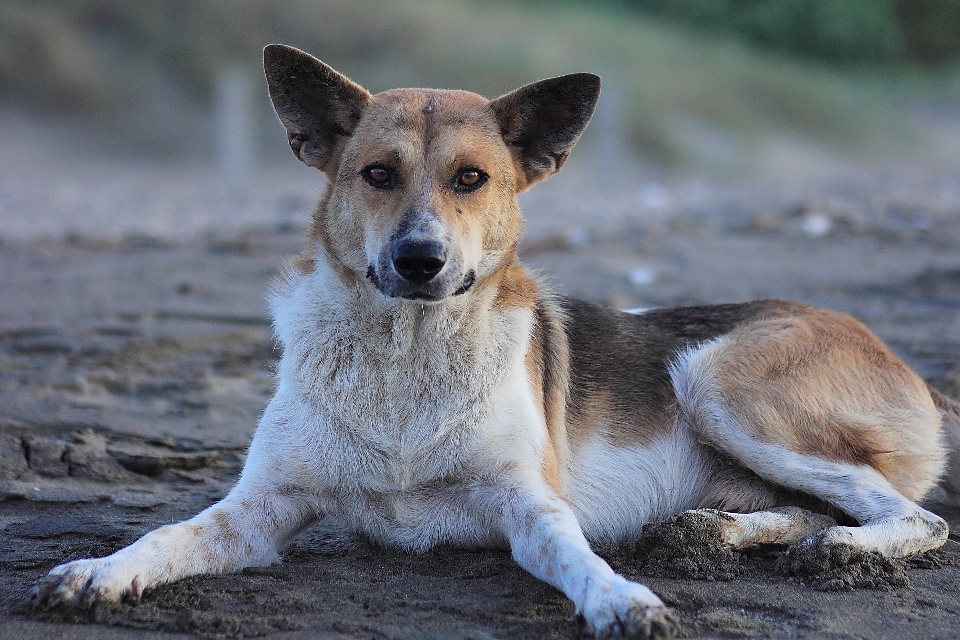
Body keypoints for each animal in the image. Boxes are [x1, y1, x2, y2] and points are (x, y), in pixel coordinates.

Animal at [30, 43, 960, 636]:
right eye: (377, 175)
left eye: (471, 179)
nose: (420, 260)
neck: (406, 356)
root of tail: (910, 366)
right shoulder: (261, 510)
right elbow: (173, 535)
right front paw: (99, 571)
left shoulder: (528, 501)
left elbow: (573, 555)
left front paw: (621, 600)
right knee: (812, 506)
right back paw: (715, 533)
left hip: (718, 380)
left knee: (909, 513)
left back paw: (839, 551)